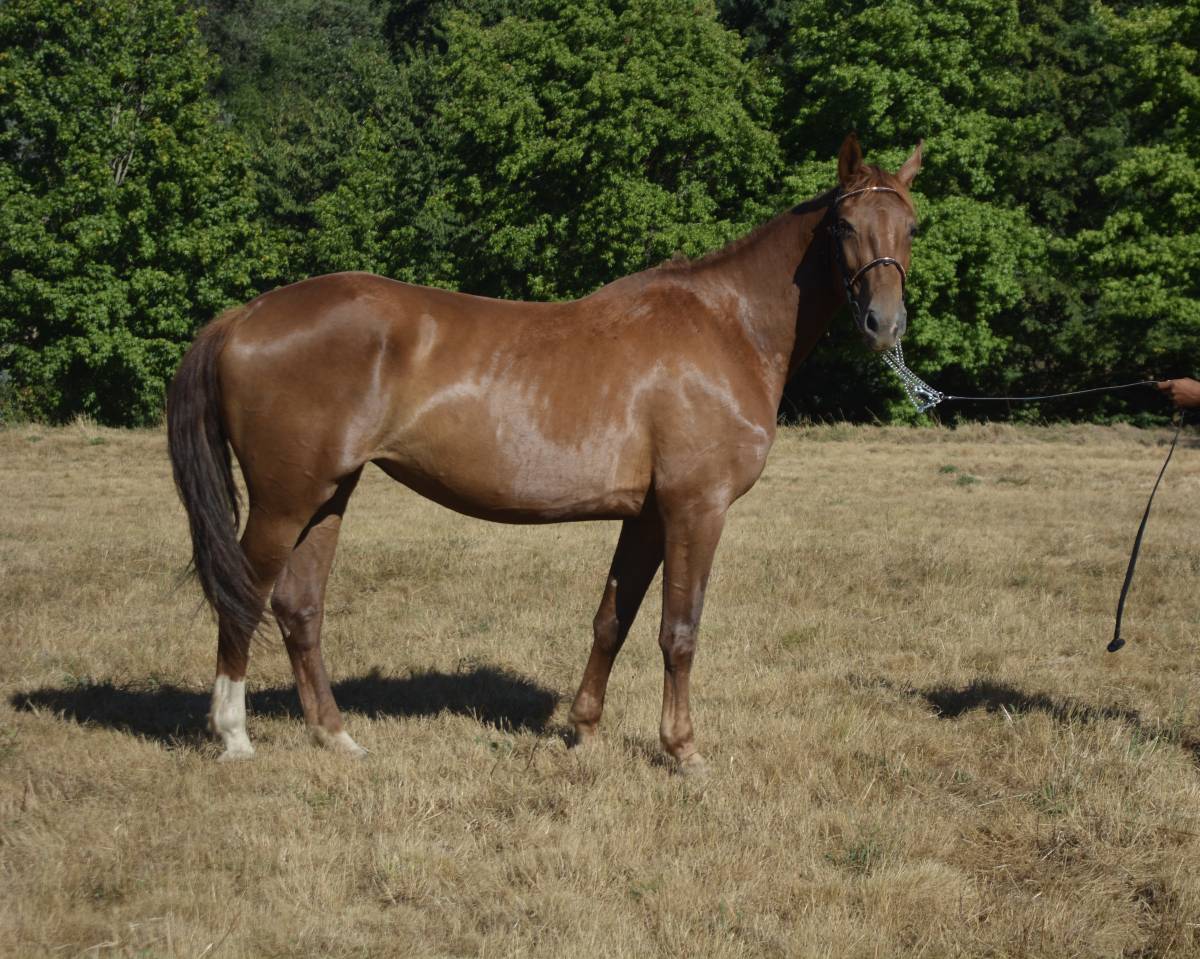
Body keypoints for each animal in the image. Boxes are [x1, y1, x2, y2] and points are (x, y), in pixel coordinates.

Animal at [167, 133, 922, 773]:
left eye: (910, 226)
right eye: (844, 226)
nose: (884, 325)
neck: (726, 326)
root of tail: (244, 316)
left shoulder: (646, 516)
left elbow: (612, 620)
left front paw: (583, 730)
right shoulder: (694, 508)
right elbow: (679, 630)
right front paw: (682, 750)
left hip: (329, 494)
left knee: (299, 606)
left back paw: (337, 735)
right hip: (283, 499)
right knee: (243, 596)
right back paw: (234, 736)